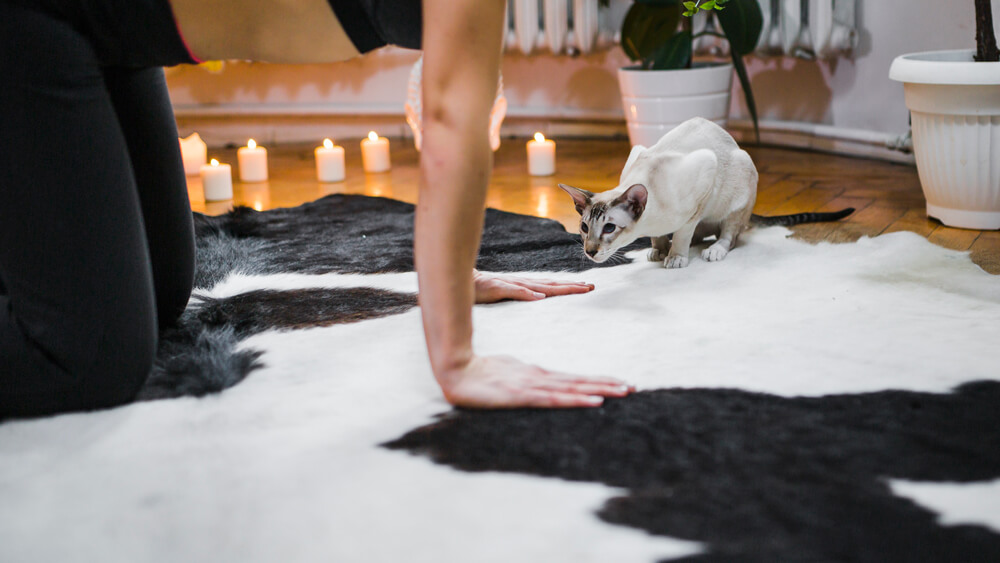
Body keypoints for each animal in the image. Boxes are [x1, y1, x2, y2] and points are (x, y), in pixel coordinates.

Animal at [560, 117, 856, 268]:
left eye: (609, 228)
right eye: (584, 228)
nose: (590, 252)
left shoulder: (704, 177)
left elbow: (683, 232)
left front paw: (675, 257)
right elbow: (659, 237)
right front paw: (658, 249)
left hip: (741, 182)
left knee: (730, 235)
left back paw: (712, 250)